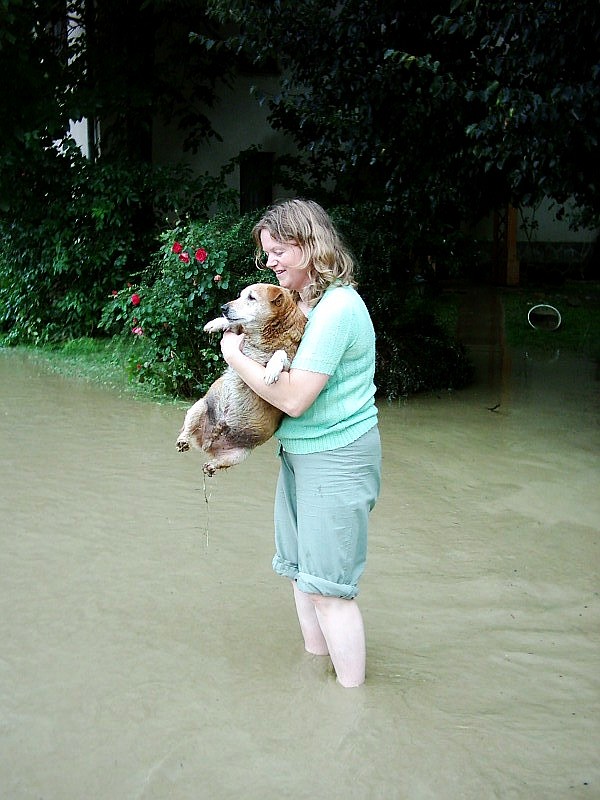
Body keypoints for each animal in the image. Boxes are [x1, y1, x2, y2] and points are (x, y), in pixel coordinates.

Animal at [173, 282, 304, 476]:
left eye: (251, 297)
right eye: (240, 295)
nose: (223, 308)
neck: (266, 336)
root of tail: (207, 444)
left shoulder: (290, 364)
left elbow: (280, 353)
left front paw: (272, 370)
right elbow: (234, 325)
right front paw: (214, 323)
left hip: (241, 454)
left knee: (218, 462)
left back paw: (210, 466)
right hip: (199, 407)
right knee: (187, 429)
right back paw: (183, 440)